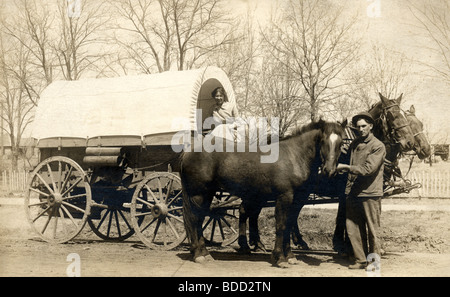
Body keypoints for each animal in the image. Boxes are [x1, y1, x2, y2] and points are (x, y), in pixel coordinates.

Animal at [179, 119, 344, 266]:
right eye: (322, 140)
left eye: (341, 143)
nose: (329, 171)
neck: (294, 157)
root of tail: (189, 151)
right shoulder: (284, 197)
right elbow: (281, 225)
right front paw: (280, 258)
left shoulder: (298, 200)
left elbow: (289, 225)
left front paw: (290, 256)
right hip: (198, 194)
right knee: (194, 218)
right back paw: (199, 255)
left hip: (207, 194)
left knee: (199, 219)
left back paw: (205, 253)